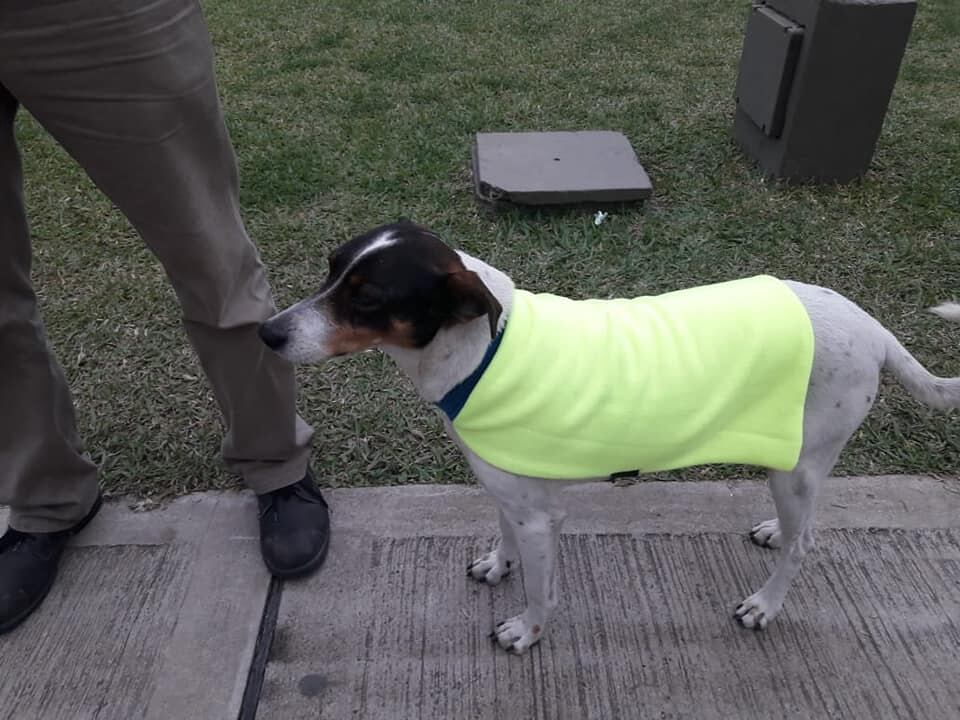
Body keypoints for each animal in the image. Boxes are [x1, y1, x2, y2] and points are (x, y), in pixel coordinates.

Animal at [256, 222, 960, 656]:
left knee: (806, 541)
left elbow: (540, 590)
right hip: (796, 462)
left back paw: (766, 603)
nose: (267, 334)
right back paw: (771, 531)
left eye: (367, 298)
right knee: (803, 524)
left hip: (799, 467)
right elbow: (504, 538)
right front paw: (498, 564)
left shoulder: (542, 519)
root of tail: (871, 326)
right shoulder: (508, 492)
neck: (481, 350)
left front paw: (527, 631)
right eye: (329, 270)